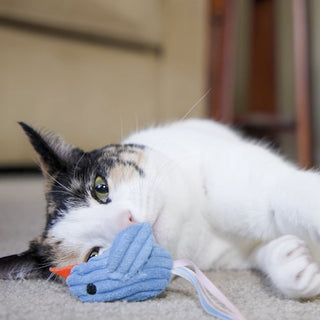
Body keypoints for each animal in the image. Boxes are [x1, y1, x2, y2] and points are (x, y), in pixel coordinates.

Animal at [0, 118, 320, 300]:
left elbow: (290, 196)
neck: (197, 219)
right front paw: (293, 263)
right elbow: (264, 249)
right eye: (94, 255)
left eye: (100, 187)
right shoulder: (233, 253)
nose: (129, 222)